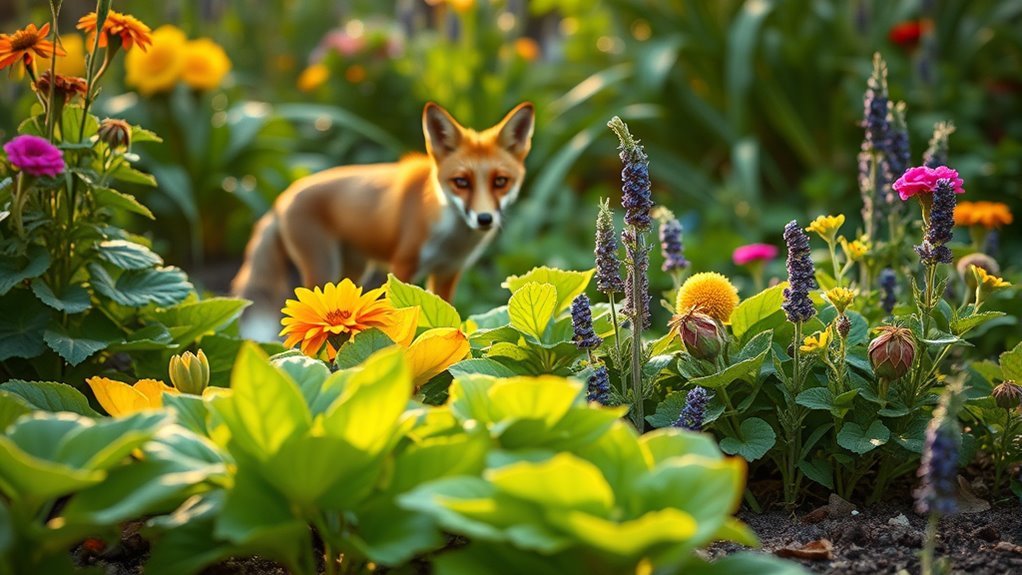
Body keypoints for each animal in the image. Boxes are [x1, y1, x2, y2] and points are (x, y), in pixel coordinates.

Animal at [231, 101, 535, 341]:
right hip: (322, 269)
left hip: (352, 272)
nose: (484, 218)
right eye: (461, 182)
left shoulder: (448, 272)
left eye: (501, 182)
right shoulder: (403, 265)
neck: (451, 238)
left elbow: (447, 314)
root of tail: (281, 198)